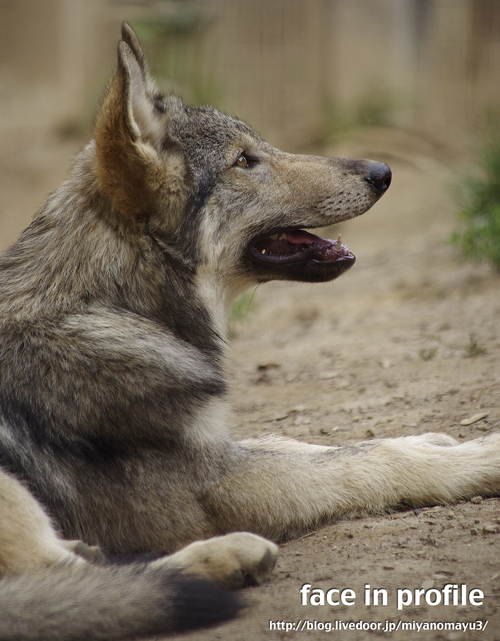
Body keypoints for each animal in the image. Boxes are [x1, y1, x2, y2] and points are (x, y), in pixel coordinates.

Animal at [0, 22, 500, 636]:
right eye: (244, 161)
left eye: (259, 148)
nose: (383, 172)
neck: (118, 307)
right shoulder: (212, 487)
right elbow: (370, 462)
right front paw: (477, 458)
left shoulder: (222, 449)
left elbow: (299, 442)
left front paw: (428, 438)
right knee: (65, 580)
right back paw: (228, 558)